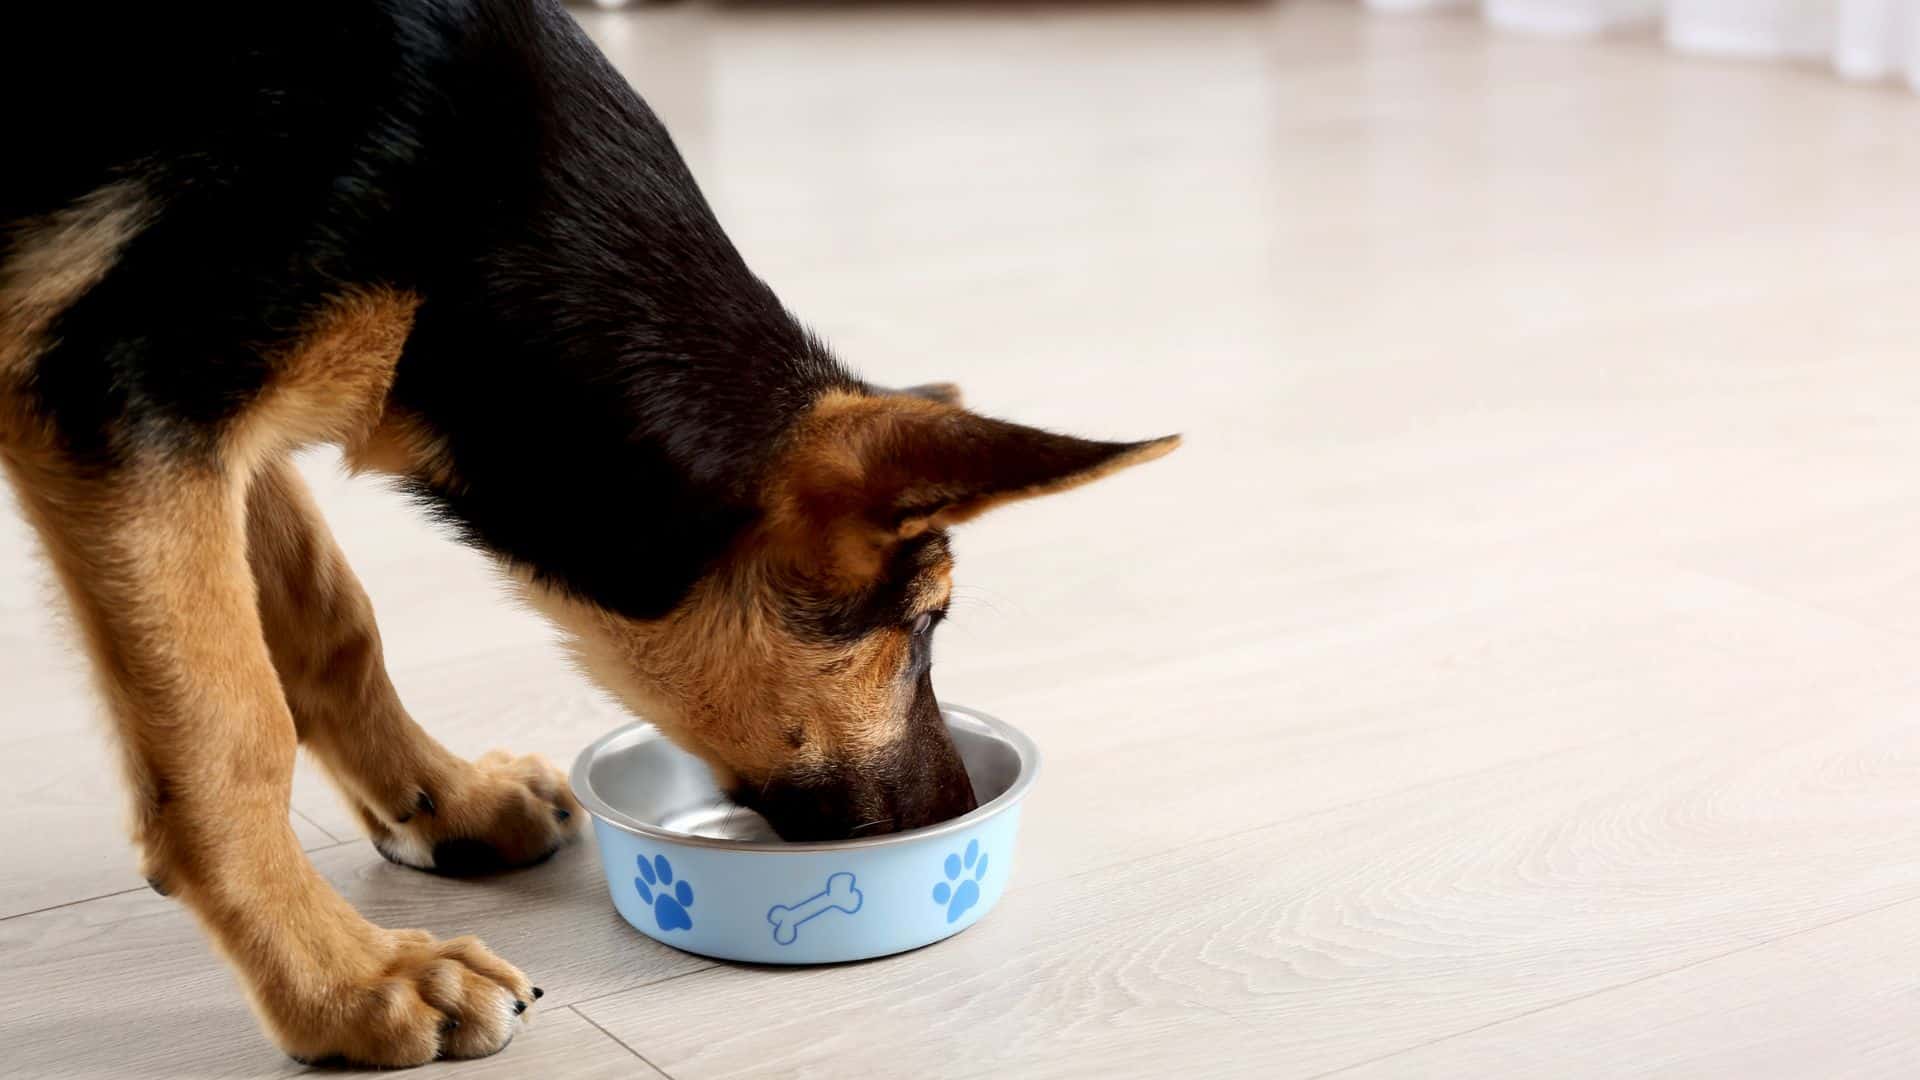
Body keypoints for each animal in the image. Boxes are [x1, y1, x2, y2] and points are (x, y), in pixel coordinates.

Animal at [0, 0, 1175, 1060]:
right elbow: (229, 734)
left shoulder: (212, 420)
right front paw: (345, 986)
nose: (958, 818)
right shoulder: (133, 405)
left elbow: (330, 620)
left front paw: (437, 799)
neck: (468, 189)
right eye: (929, 621)